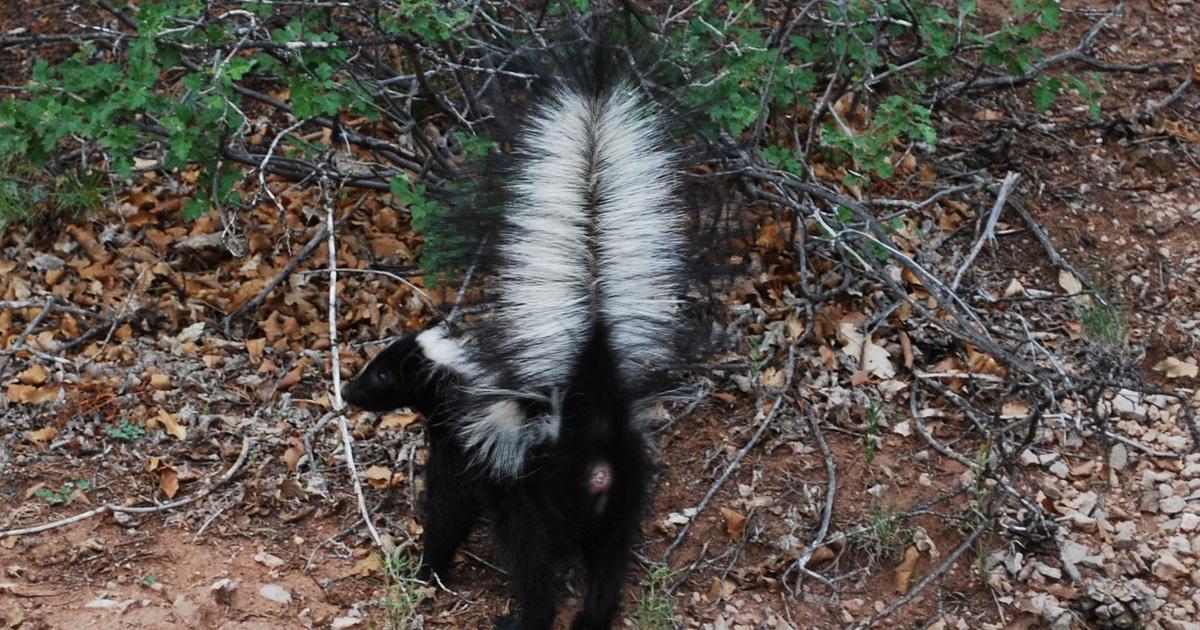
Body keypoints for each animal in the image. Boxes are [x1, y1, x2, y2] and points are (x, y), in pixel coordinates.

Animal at [343, 60, 691, 628]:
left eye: (382, 373)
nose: (349, 392)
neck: (458, 386)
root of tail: (588, 425)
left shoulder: (466, 452)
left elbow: (448, 511)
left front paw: (426, 569)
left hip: (533, 500)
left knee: (533, 564)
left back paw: (524, 617)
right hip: (624, 493)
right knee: (609, 562)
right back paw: (593, 617)